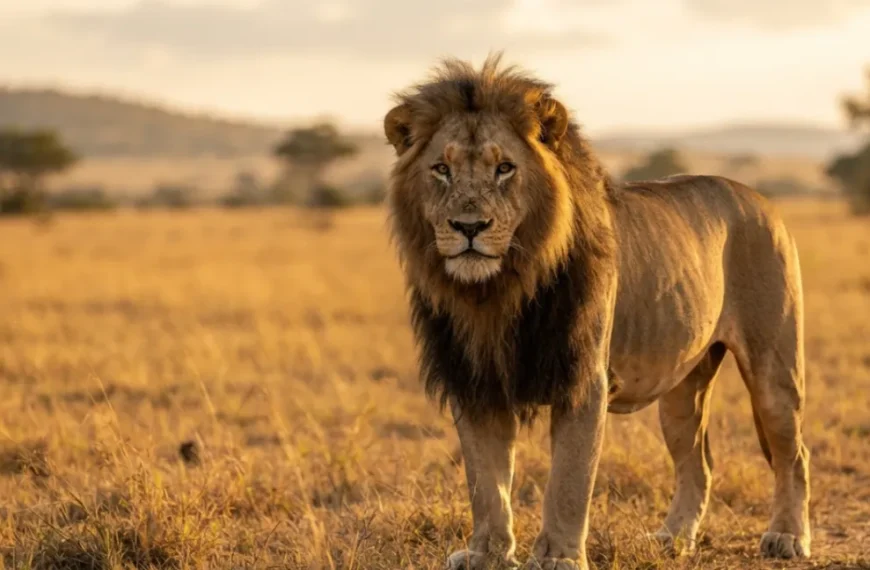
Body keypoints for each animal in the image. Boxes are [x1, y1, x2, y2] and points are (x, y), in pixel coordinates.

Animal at [382, 54, 811, 570]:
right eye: (441, 169)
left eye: (505, 168)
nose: (469, 226)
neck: (498, 292)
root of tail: (762, 199)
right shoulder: (475, 379)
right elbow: (485, 483)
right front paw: (486, 552)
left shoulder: (583, 378)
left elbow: (568, 480)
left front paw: (557, 558)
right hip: (682, 388)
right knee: (699, 462)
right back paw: (674, 538)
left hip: (774, 370)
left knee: (794, 454)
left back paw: (786, 537)